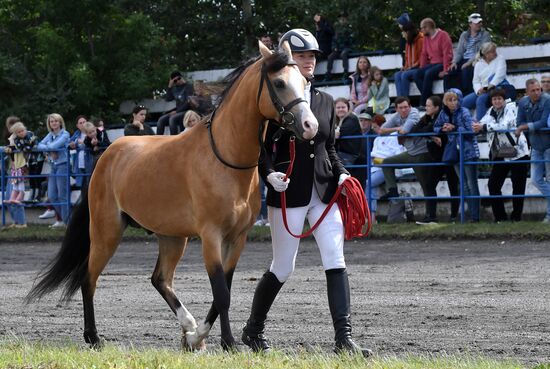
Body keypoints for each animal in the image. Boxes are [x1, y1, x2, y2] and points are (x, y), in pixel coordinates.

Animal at [25, 41, 322, 350]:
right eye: (279, 82)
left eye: (304, 82)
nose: (310, 126)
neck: (224, 159)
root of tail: (107, 155)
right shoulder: (211, 236)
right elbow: (221, 294)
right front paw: (227, 342)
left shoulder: (237, 238)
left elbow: (223, 291)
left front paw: (197, 337)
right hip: (107, 231)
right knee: (89, 278)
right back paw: (93, 337)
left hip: (172, 237)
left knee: (160, 279)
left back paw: (188, 326)